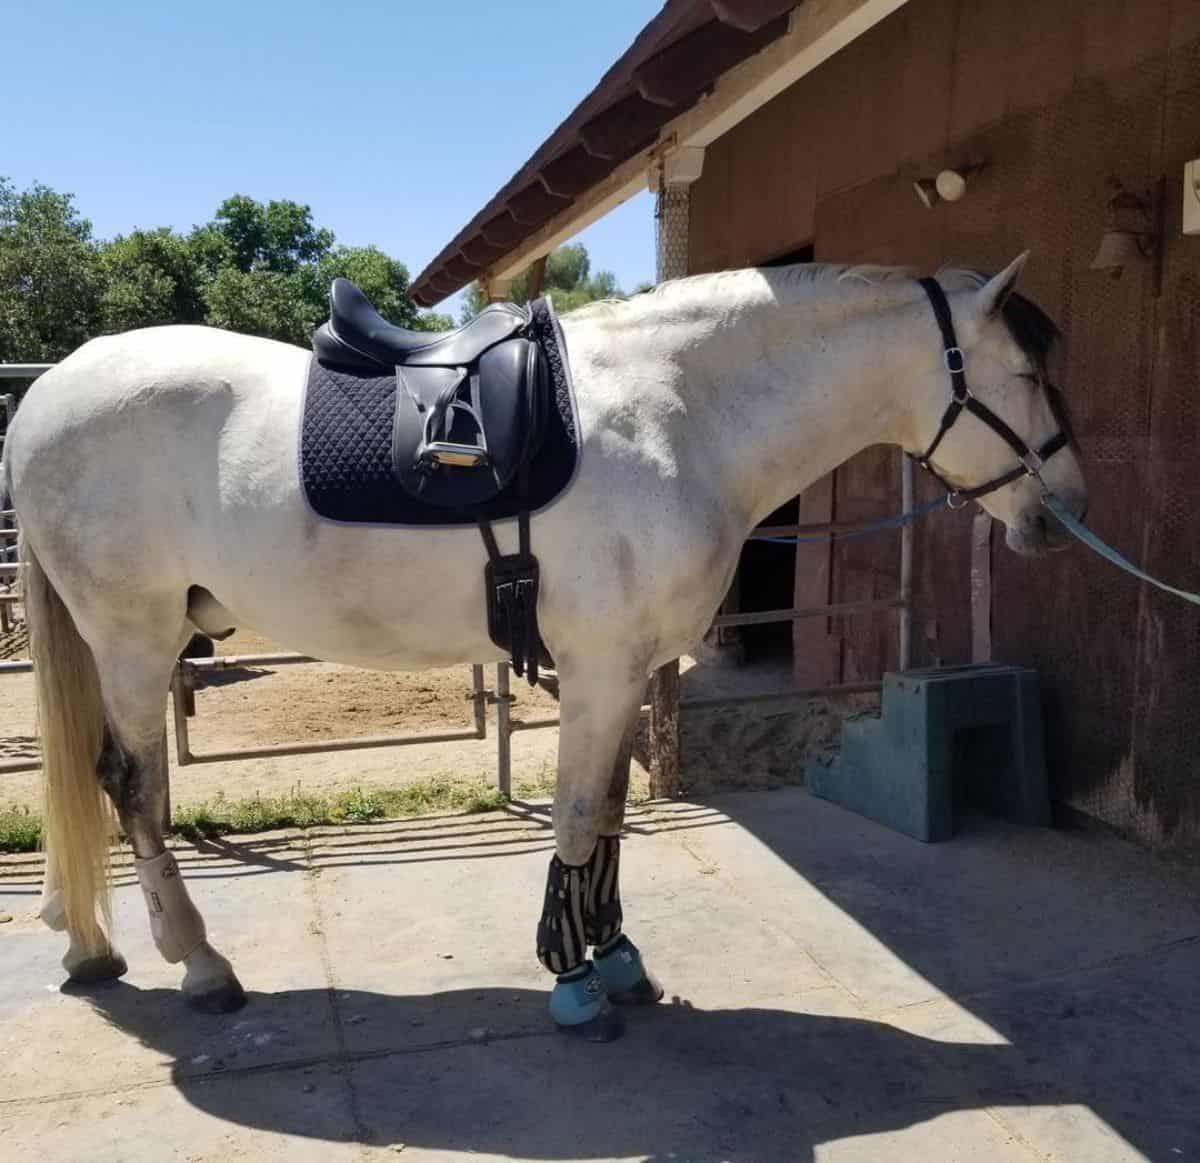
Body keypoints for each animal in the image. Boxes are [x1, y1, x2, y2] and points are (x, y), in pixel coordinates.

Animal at [4, 252, 1089, 1036]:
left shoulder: (630, 667)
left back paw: (90, 946)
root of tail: (52, 393)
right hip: (136, 638)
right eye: (1029, 372)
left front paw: (616, 958)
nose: (1065, 513)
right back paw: (200, 965)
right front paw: (573, 983)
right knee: (131, 786)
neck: (679, 417)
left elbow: (605, 816)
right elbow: (573, 816)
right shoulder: (600, 664)